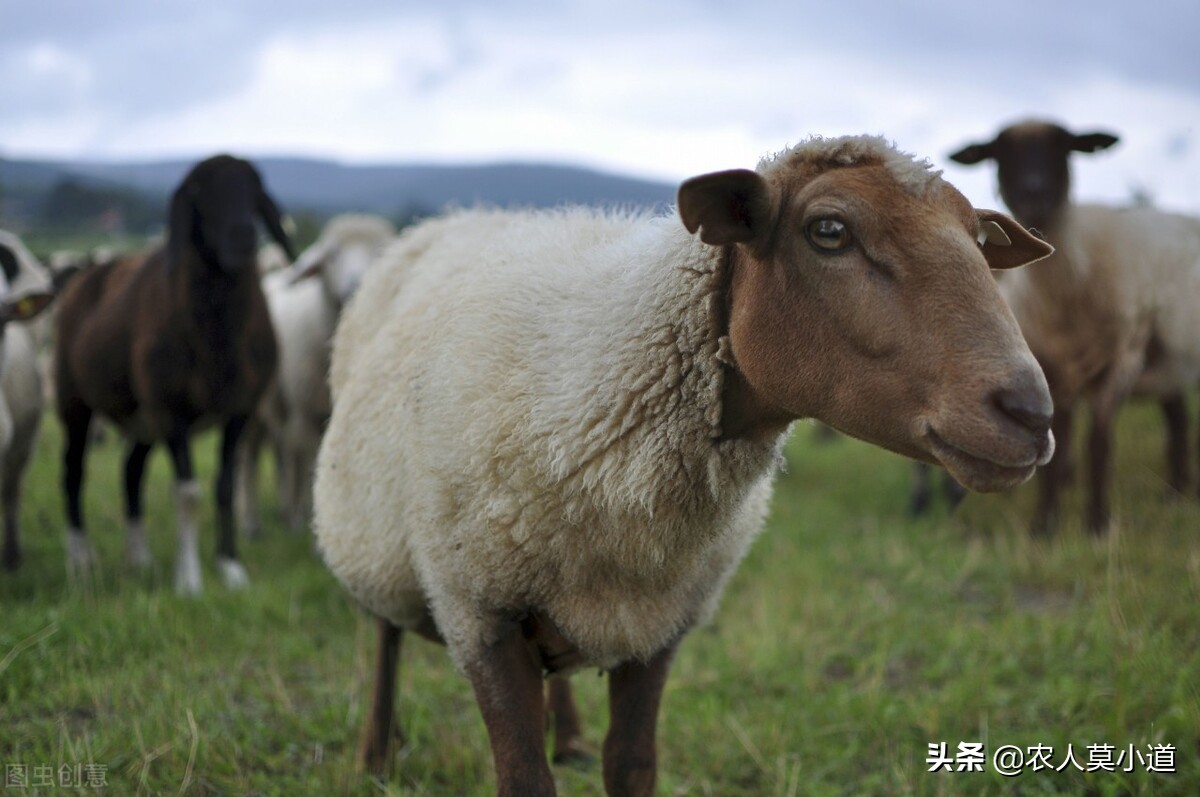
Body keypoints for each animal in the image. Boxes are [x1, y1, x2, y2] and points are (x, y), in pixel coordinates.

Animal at [52, 156, 297, 590]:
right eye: (198, 193)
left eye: (255, 189)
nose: (243, 239)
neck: (219, 339)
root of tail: (88, 272)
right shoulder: (173, 410)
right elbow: (188, 494)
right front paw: (190, 580)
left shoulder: (240, 410)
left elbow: (223, 487)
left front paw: (230, 568)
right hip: (76, 401)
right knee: (73, 473)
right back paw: (81, 560)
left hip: (143, 417)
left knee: (130, 471)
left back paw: (140, 560)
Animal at [237, 211, 393, 535]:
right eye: (332, 255)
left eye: (378, 253)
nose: (354, 287)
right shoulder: (307, 412)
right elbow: (309, 465)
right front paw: (308, 525)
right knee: (251, 455)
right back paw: (253, 522)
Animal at [314, 133, 1056, 792]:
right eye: (829, 230)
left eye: (980, 241)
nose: (1032, 411)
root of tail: (451, 217)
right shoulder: (481, 615)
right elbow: (524, 779)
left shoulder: (655, 626)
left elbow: (631, 766)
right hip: (374, 526)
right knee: (383, 635)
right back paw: (374, 754)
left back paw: (568, 736)